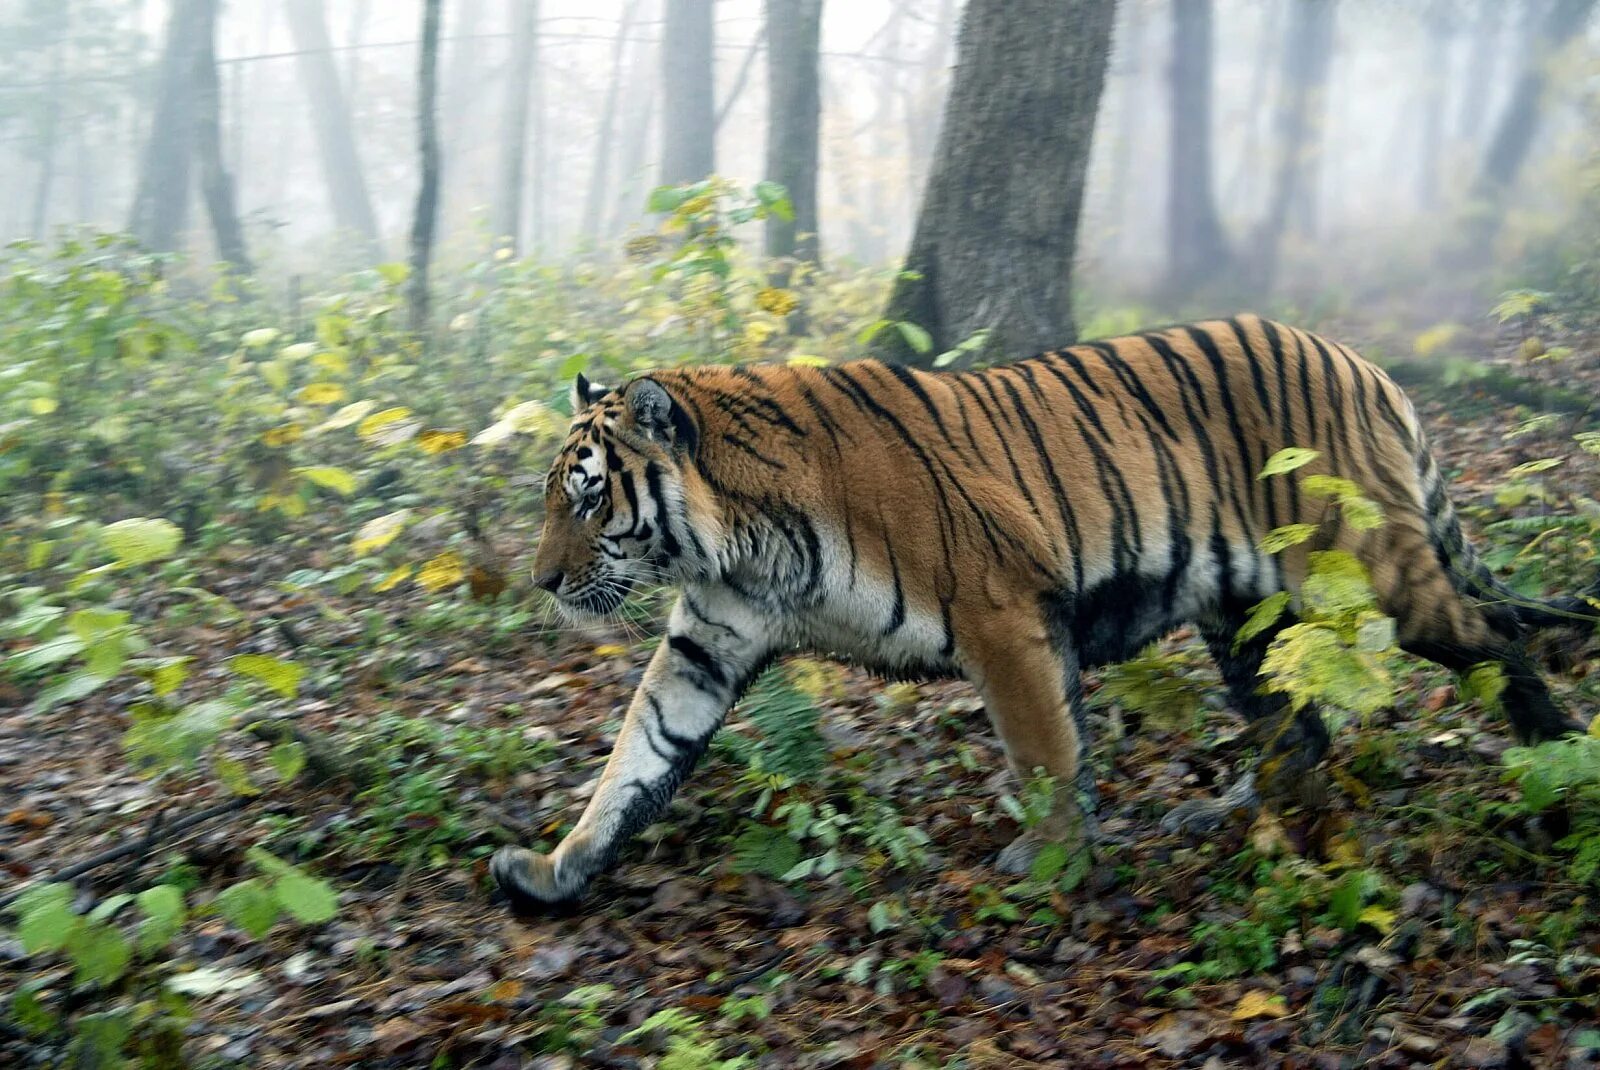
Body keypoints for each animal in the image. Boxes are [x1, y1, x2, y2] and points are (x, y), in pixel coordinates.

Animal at [492, 313, 1593, 908]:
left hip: (1365, 568)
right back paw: (1232, 809)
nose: (541, 582)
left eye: (585, 497)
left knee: (1493, 638)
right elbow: (635, 760)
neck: (738, 540)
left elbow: (1043, 749)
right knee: (1298, 721)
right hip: (1244, 617)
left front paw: (1052, 859)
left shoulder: (1003, 614)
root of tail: (1364, 363)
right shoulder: (706, 643)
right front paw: (556, 870)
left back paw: (1557, 766)